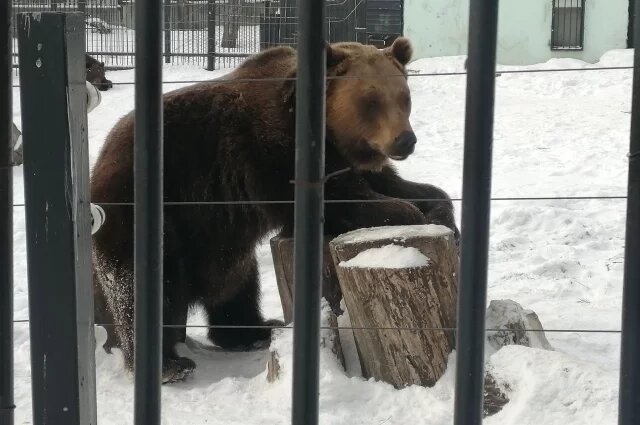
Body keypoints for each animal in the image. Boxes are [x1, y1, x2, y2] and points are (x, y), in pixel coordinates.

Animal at [91, 35, 460, 380]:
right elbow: (340, 201)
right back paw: (169, 364)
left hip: (217, 239)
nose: (405, 140)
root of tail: (101, 158)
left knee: (237, 284)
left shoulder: (348, 164)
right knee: (137, 285)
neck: (328, 134)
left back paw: (253, 330)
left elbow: (405, 187)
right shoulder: (270, 153)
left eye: (404, 97)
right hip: (145, 208)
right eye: (370, 101)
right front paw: (406, 218)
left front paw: (444, 219)